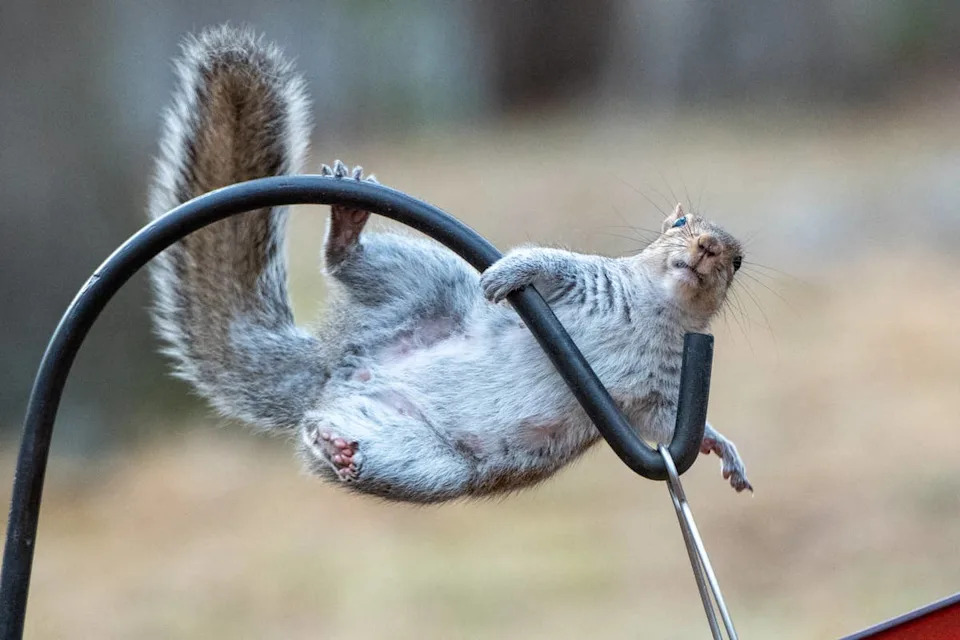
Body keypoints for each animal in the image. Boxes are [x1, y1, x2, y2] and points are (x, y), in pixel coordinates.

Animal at [148, 25, 751, 504]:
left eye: (739, 262)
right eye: (679, 224)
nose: (707, 250)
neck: (656, 311)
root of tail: (336, 368)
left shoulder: (658, 397)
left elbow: (672, 427)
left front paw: (722, 447)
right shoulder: (580, 278)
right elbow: (542, 263)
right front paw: (506, 276)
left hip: (424, 462)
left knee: (353, 444)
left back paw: (338, 447)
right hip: (419, 278)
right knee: (345, 265)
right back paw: (347, 228)